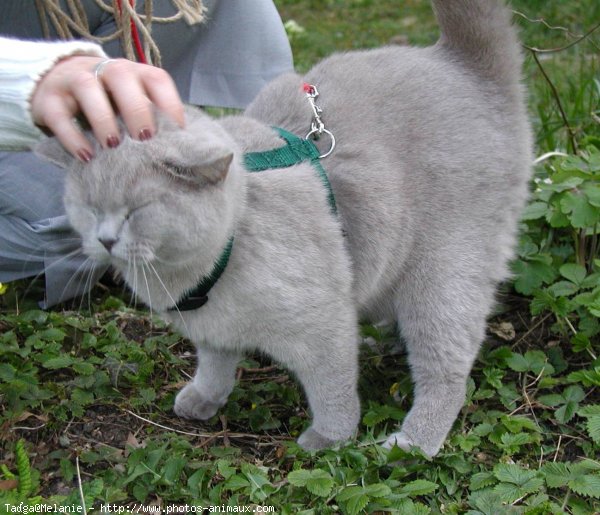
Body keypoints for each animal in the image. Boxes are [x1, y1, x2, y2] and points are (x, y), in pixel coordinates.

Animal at [36, 0, 528, 460]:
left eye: (136, 210)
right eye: (88, 208)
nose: (105, 240)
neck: (191, 279)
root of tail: (458, 59)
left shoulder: (324, 327)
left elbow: (333, 391)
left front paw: (328, 439)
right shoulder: (211, 332)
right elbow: (214, 364)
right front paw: (203, 400)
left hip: (443, 276)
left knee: (446, 372)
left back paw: (408, 445)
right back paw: (383, 346)